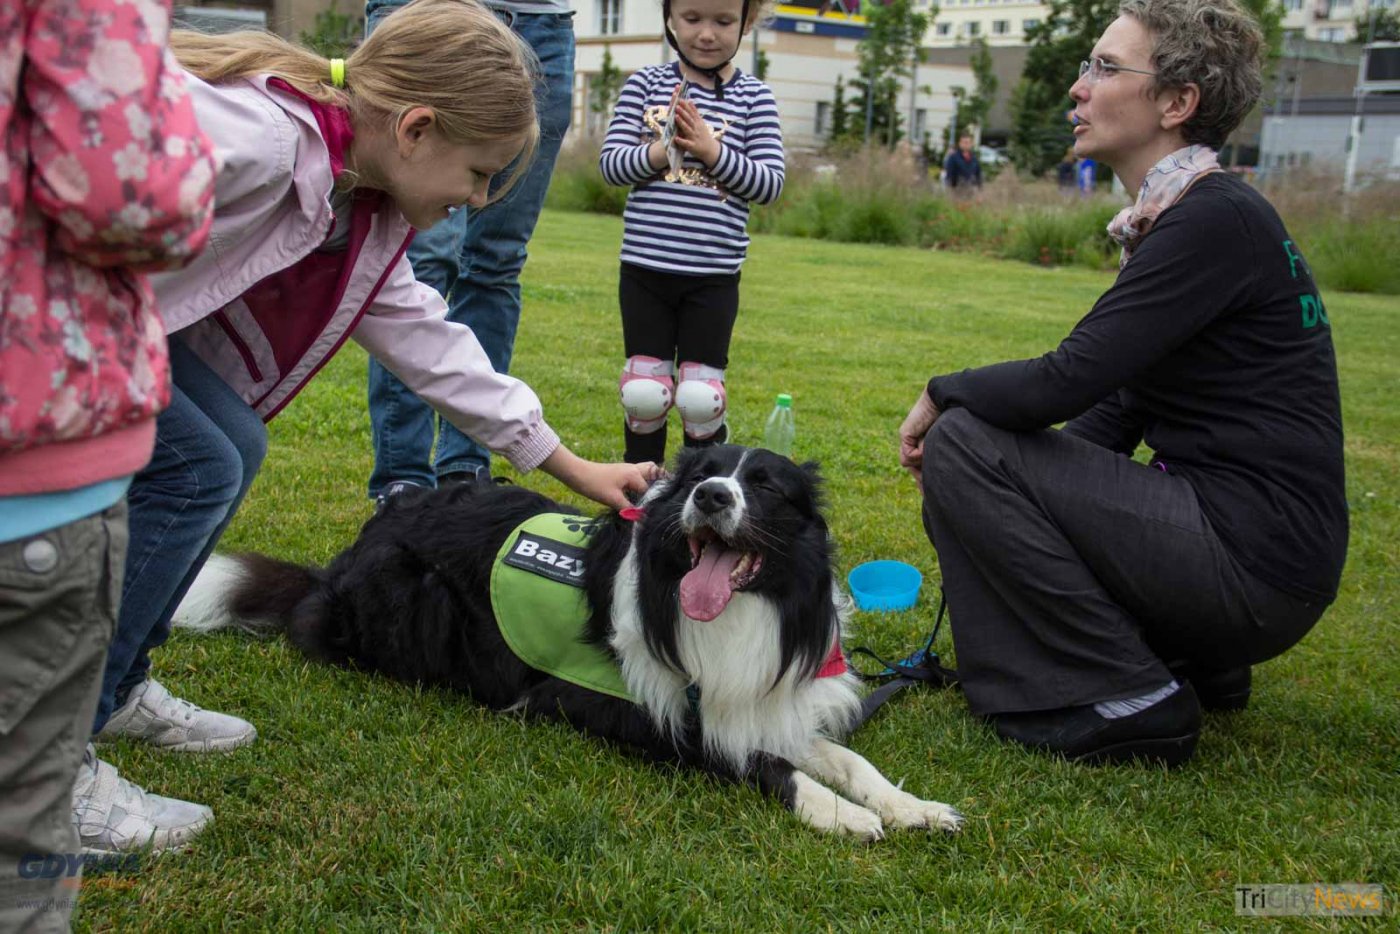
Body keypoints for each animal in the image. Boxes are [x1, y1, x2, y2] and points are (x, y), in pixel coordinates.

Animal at [172, 445, 963, 840]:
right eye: (701, 478)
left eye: (766, 487)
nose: (711, 497)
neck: (739, 612)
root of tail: (341, 563)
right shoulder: (651, 714)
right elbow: (768, 767)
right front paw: (844, 816)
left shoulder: (761, 701)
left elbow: (848, 759)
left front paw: (911, 806)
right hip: (415, 600)